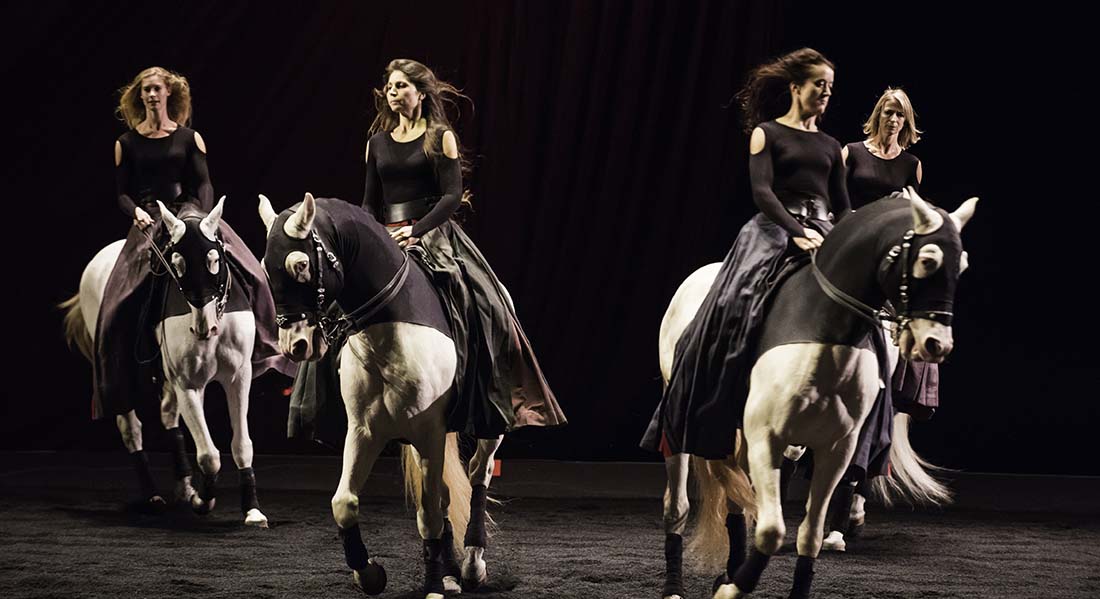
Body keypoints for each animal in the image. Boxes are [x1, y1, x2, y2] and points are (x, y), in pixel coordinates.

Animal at [63, 198, 271, 525]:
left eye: (214, 260)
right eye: (177, 265)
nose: (204, 329)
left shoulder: (238, 377)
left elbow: (241, 445)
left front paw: (252, 509)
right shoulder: (187, 383)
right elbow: (209, 455)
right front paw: (203, 500)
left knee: (168, 414)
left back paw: (184, 485)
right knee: (131, 427)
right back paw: (153, 495)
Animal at [257, 193, 503, 593]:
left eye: (301, 265)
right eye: (266, 267)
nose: (295, 345)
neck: (389, 335)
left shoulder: (429, 431)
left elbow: (429, 514)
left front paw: (432, 588)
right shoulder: (365, 430)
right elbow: (344, 502)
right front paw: (369, 572)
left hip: (485, 426)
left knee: (478, 474)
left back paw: (471, 563)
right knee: (446, 494)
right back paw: (451, 572)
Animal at [646, 187, 976, 597]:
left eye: (962, 266)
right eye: (928, 261)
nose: (936, 344)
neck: (824, 336)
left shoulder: (838, 446)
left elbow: (810, 533)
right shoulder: (767, 437)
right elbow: (771, 530)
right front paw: (733, 588)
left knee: (738, 499)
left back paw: (733, 566)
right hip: (681, 418)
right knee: (678, 503)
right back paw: (674, 585)